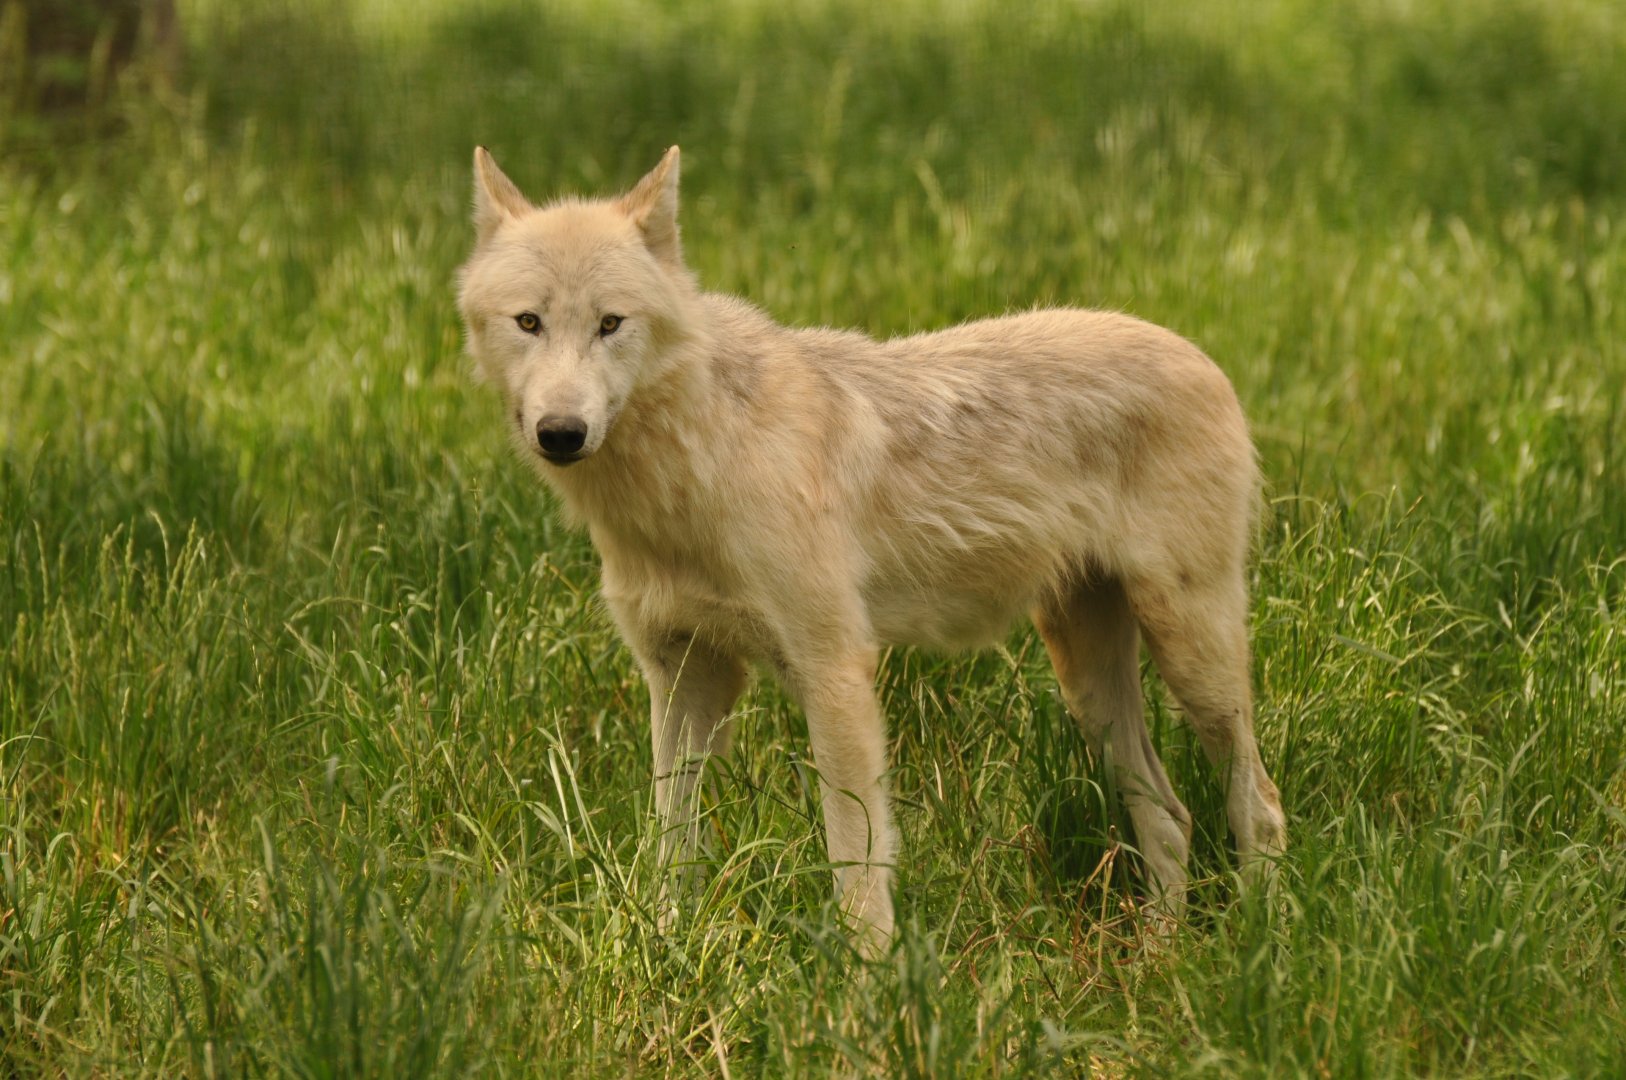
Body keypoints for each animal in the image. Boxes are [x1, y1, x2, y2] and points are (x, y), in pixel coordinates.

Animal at [456, 146, 1287, 950]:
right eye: (529, 322)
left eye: (610, 324)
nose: (561, 432)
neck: (693, 469)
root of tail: (1205, 358)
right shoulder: (684, 675)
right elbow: (671, 844)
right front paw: (663, 952)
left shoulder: (835, 672)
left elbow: (855, 866)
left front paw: (871, 987)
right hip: (1088, 678)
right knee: (1172, 818)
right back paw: (1161, 954)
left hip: (1194, 663)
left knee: (1261, 806)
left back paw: (1257, 948)